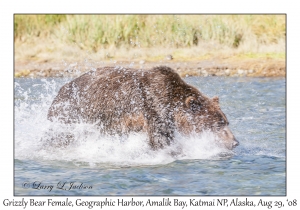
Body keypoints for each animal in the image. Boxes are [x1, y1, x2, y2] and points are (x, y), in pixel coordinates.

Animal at [47, 65, 239, 149]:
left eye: (226, 121)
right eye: (218, 124)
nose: (235, 142)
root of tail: (58, 94)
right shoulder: (152, 108)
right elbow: (159, 139)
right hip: (72, 112)